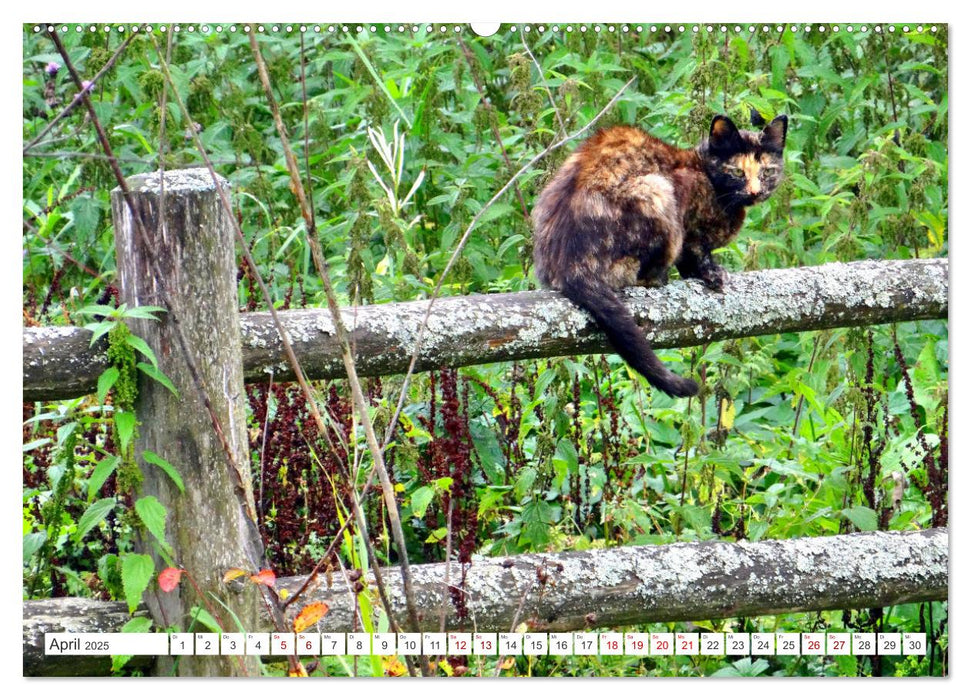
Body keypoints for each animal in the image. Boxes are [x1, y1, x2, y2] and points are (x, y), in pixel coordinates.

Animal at [532, 115, 788, 400]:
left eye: (767, 172)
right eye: (737, 172)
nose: (755, 192)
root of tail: (570, 266)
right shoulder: (687, 215)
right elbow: (696, 252)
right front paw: (711, 273)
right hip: (657, 191)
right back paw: (659, 278)